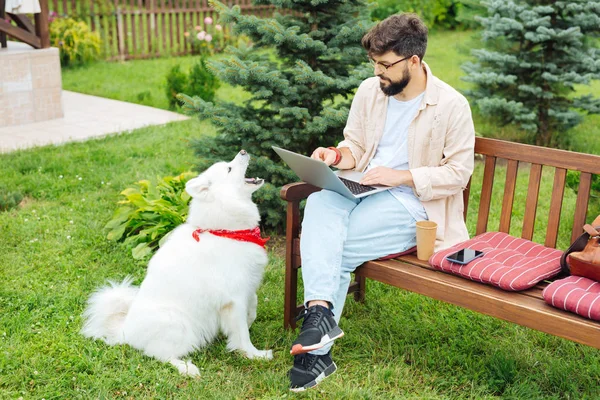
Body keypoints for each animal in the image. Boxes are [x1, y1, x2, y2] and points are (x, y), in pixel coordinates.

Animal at [81, 149, 272, 376]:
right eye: (229, 168)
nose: (243, 151)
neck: (226, 232)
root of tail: (125, 331)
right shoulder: (234, 299)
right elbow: (242, 334)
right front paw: (255, 355)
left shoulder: (246, 289)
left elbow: (253, 306)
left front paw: (250, 321)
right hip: (179, 325)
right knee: (159, 355)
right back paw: (187, 368)